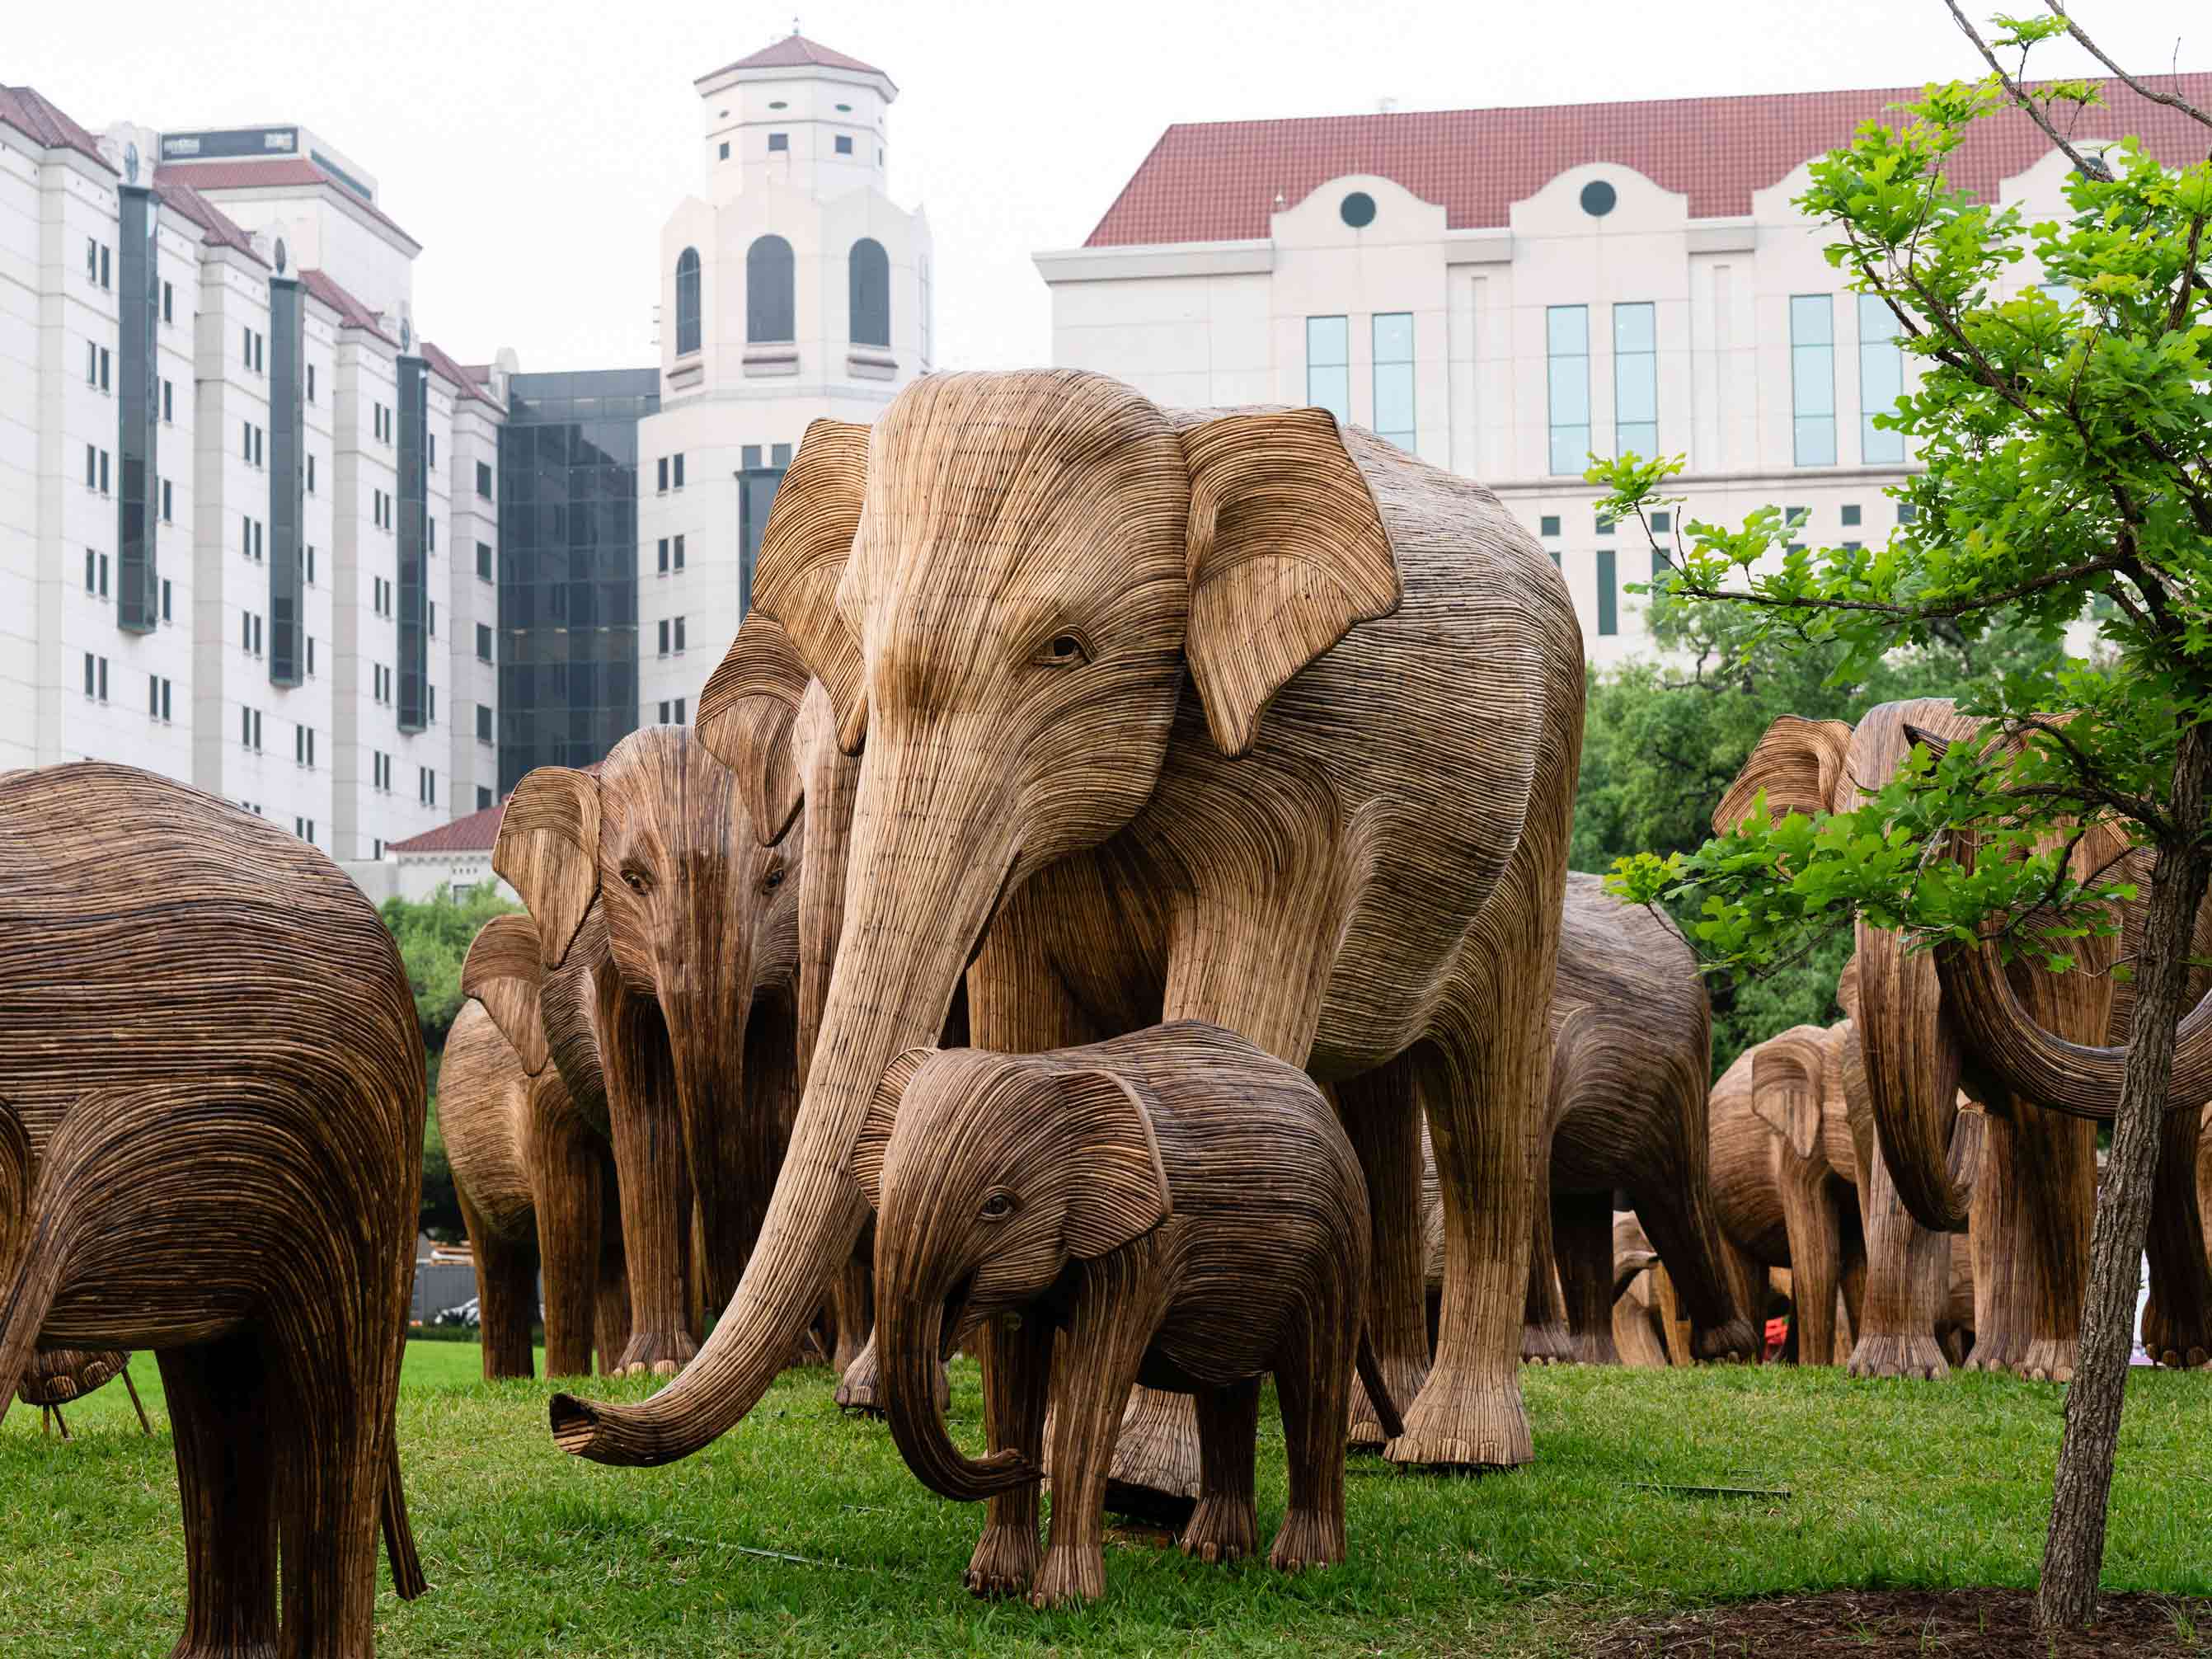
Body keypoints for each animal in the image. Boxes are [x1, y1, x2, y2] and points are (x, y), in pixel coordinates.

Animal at [440, 914, 631, 1379]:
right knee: (496, 1256)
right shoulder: (542, 1102)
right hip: (459, 1162)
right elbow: (570, 1211)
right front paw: (565, 1379)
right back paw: (507, 1381)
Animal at [494, 723, 805, 1376]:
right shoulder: (612, 970)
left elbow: (770, 1117)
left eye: (775, 879)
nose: (722, 1307)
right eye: (632, 880)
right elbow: (650, 1123)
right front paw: (650, 1368)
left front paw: (794, 1360)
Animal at [549, 369, 1587, 1499]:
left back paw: (1455, 1449)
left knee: (1487, 1111)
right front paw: (1050, 1453)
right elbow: (1025, 1022)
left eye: (1064, 649)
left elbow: (1228, 1012)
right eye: (856, 636)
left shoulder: (1297, 778)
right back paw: (1369, 1433)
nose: (568, 1414)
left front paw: (1142, 1482)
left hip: (1538, 809)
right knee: (1380, 1106)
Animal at [853, 1022, 1403, 1607]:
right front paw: (992, 1585)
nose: (1016, 1464)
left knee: (1315, 1378)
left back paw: (1305, 1567)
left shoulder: (1142, 1251)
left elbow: (1094, 1390)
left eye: (997, 1205)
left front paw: (1065, 1602)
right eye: (883, 1184)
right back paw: (1213, 1553)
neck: (1052, 1067)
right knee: (1228, 1387)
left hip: (1337, 1248)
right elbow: (1011, 1376)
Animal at [1717, 702, 2212, 1376]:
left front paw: (2055, 1371)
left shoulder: (2079, 927)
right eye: (1842, 847)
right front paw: (1890, 1372)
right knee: (2006, 1150)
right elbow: (1908, 1104)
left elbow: (2054, 1119)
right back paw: (1995, 1364)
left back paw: (2178, 1353)